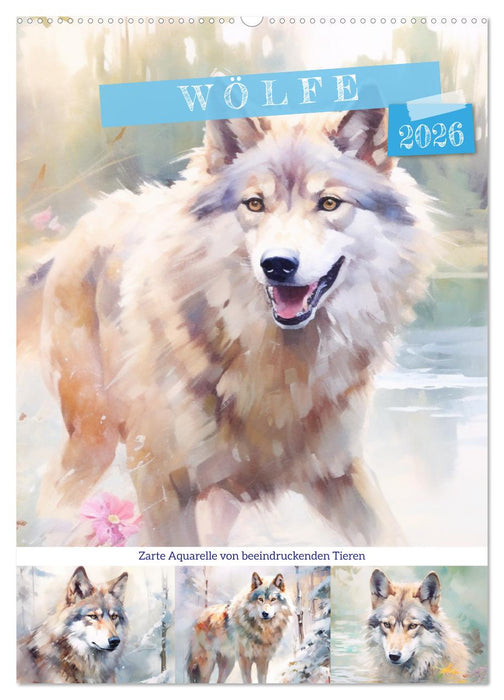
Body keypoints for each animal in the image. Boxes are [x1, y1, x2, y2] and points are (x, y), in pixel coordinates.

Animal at [24, 108, 433, 545]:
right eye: (254, 203)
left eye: (328, 203)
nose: (278, 264)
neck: (275, 371)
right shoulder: (160, 482)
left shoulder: (336, 470)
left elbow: (390, 538)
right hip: (92, 441)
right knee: (53, 501)